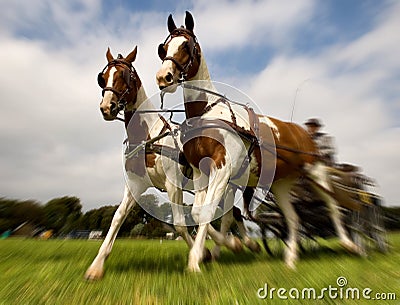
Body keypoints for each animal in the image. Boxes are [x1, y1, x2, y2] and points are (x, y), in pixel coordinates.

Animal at [155, 10, 360, 270]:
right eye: (164, 47)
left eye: (186, 45)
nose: (164, 77)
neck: (208, 113)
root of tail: (303, 131)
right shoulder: (200, 172)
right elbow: (200, 213)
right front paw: (214, 251)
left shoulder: (221, 169)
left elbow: (209, 212)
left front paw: (202, 259)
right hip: (281, 184)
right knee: (293, 217)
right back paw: (291, 258)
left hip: (316, 173)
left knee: (332, 206)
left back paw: (349, 244)